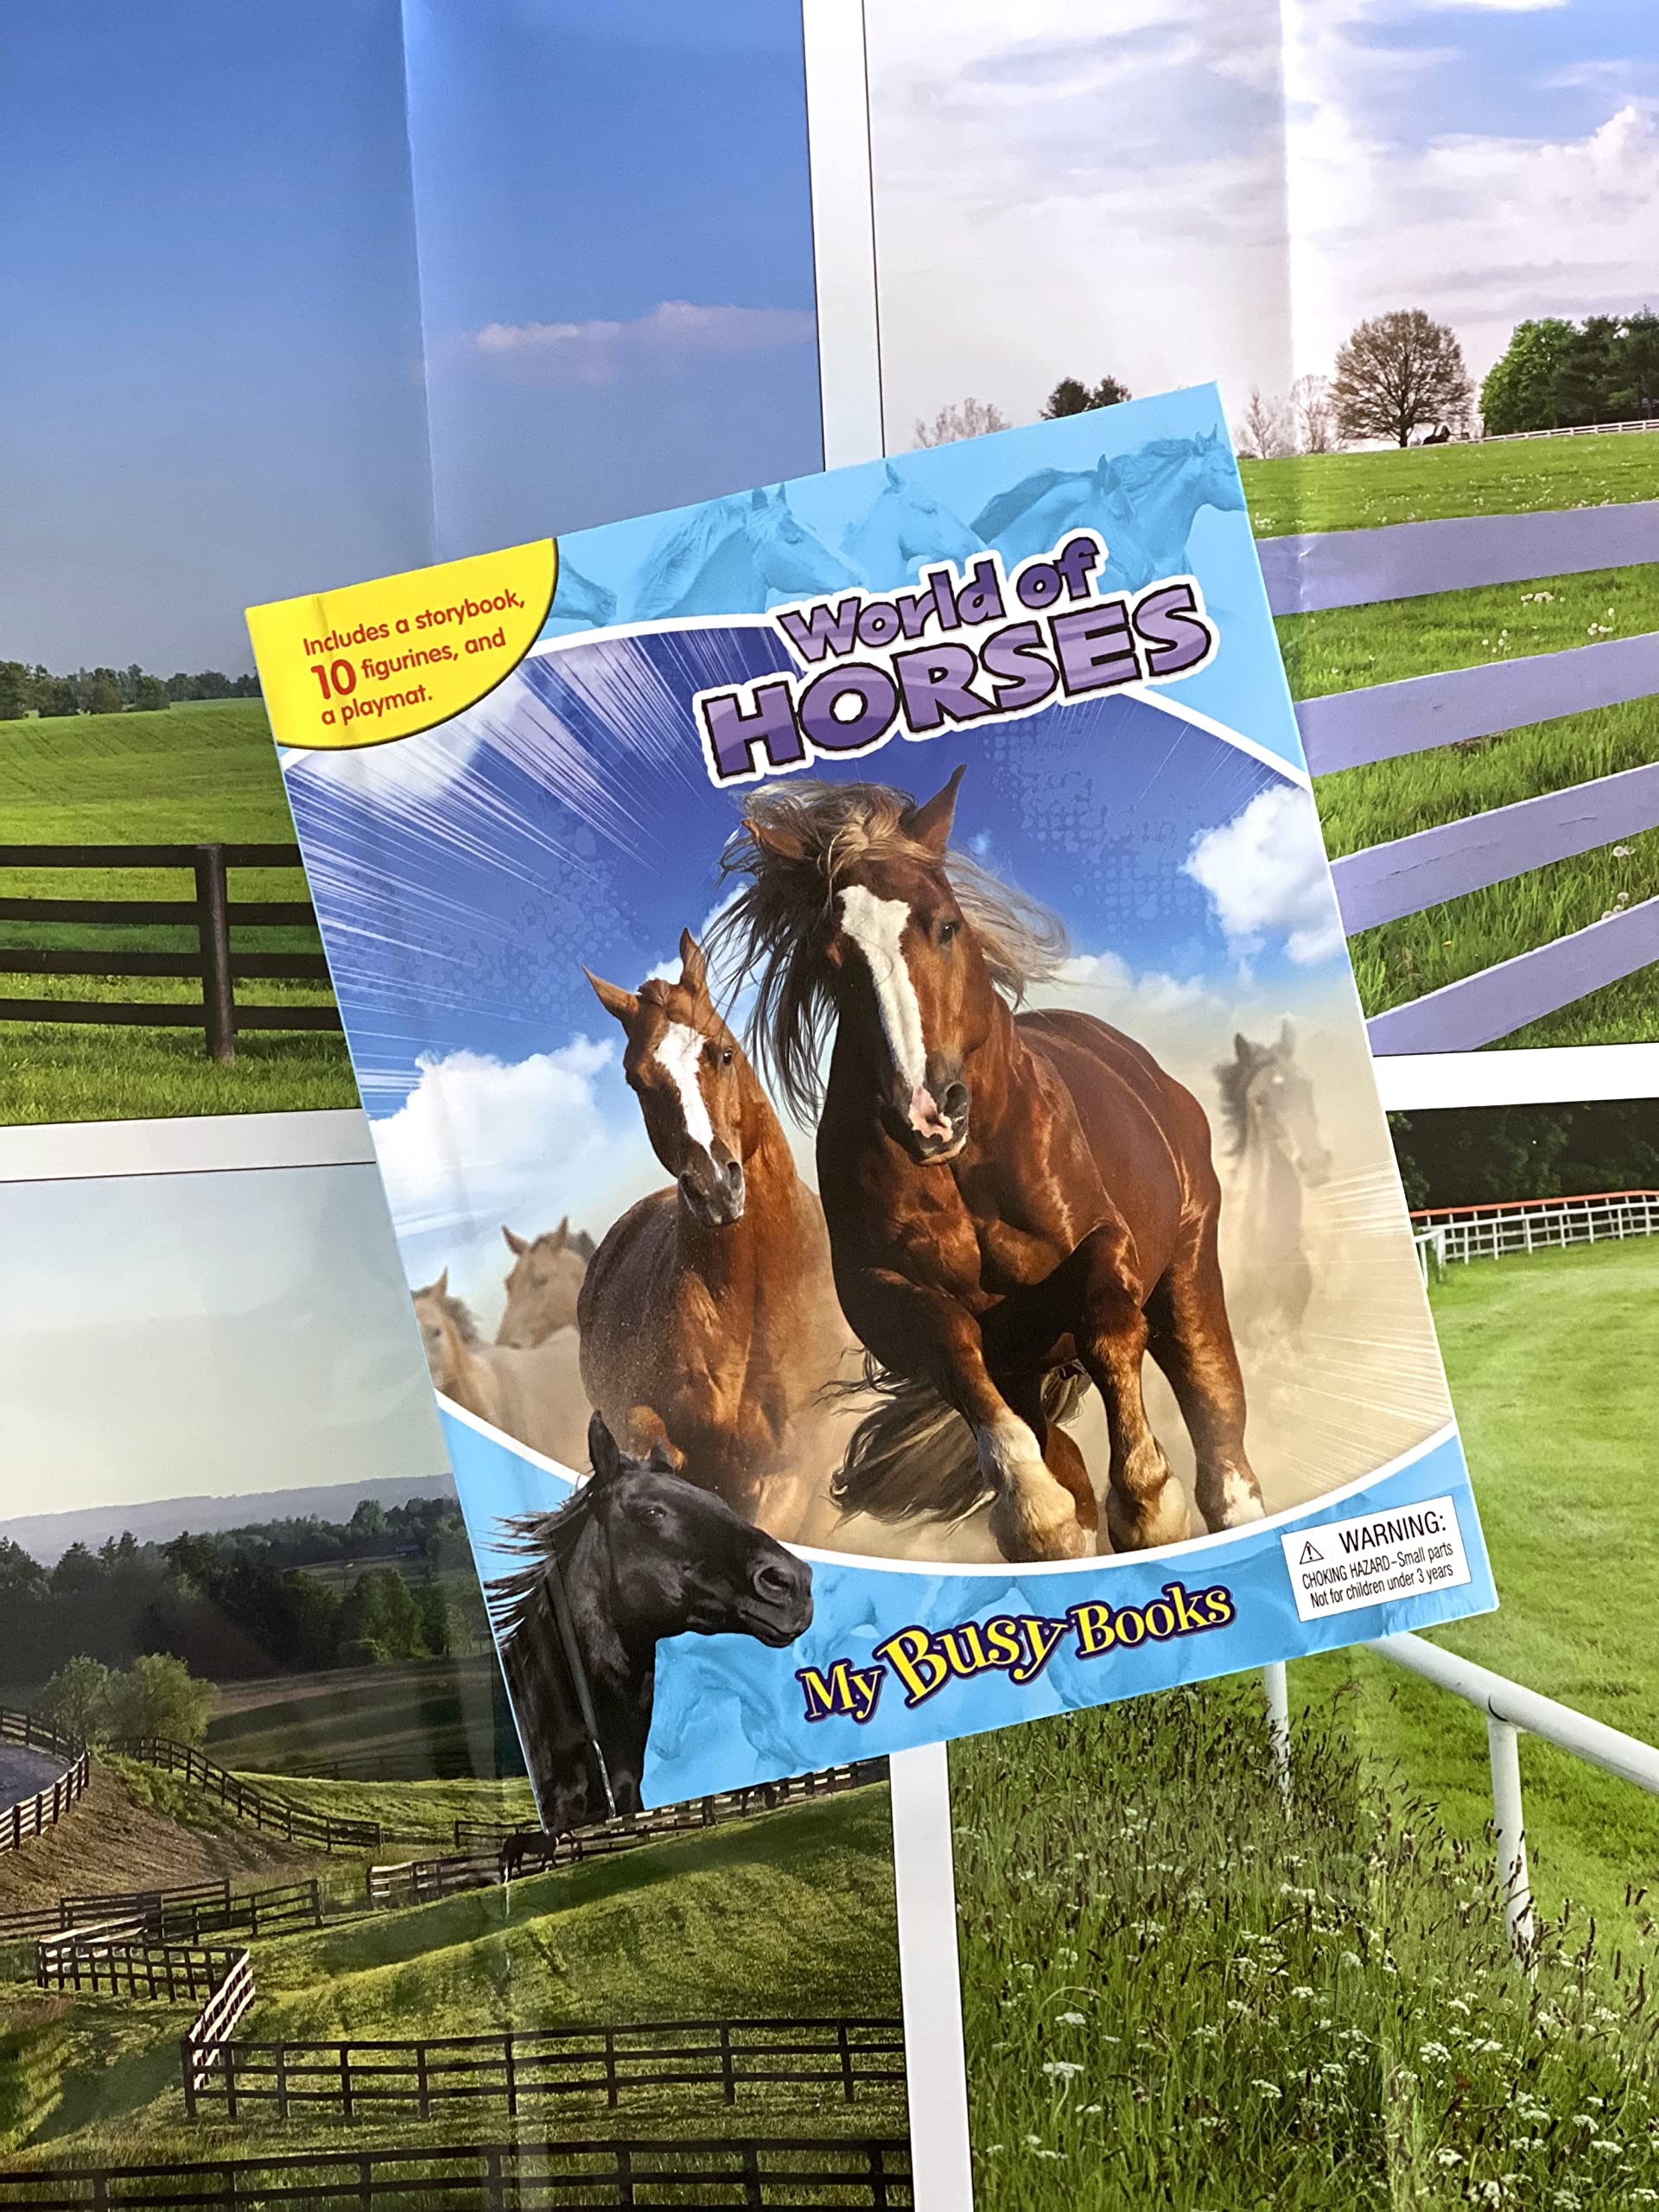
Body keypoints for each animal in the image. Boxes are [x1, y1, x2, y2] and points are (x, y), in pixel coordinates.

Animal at [708, 767, 1264, 1564]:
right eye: (833, 959)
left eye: (945, 925)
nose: (926, 1112)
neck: (968, 1171)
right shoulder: (890, 1300)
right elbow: (956, 1355)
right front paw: (1037, 1513)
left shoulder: (1105, 1244)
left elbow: (1107, 1322)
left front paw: (1147, 1501)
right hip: (1031, 1367)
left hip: (1188, 1270)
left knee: (1220, 1444)